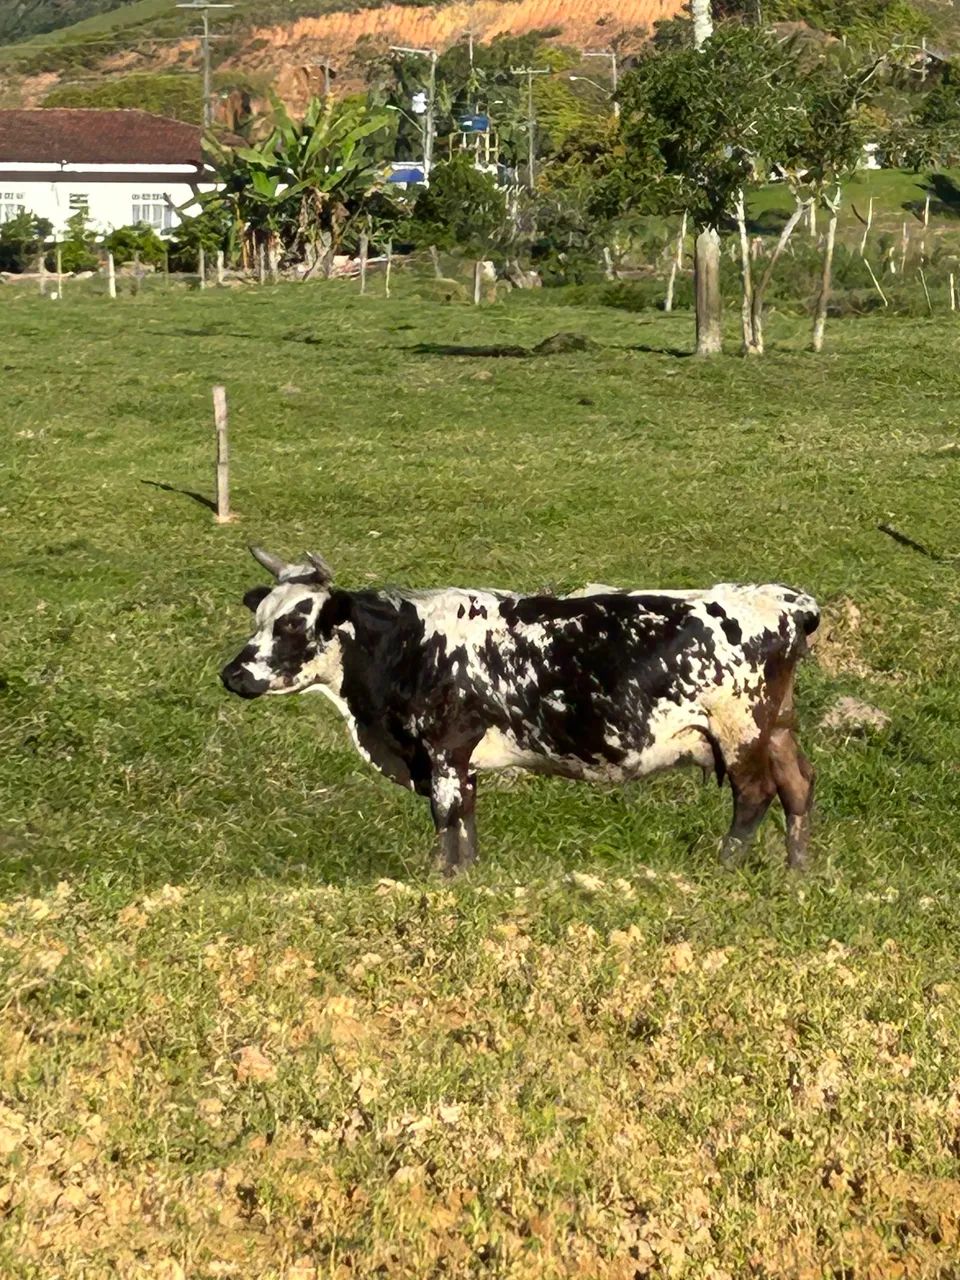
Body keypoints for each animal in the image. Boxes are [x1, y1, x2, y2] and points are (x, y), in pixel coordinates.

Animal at [220, 546, 820, 875]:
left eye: (293, 623)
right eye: (260, 618)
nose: (232, 675)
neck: (409, 645)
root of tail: (785, 600)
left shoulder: (443, 750)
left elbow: (446, 818)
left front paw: (442, 877)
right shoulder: (459, 760)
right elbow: (467, 818)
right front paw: (468, 875)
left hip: (740, 730)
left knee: (755, 795)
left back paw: (724, 866)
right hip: (777, 729)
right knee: (797, 786)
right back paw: (797, 871)